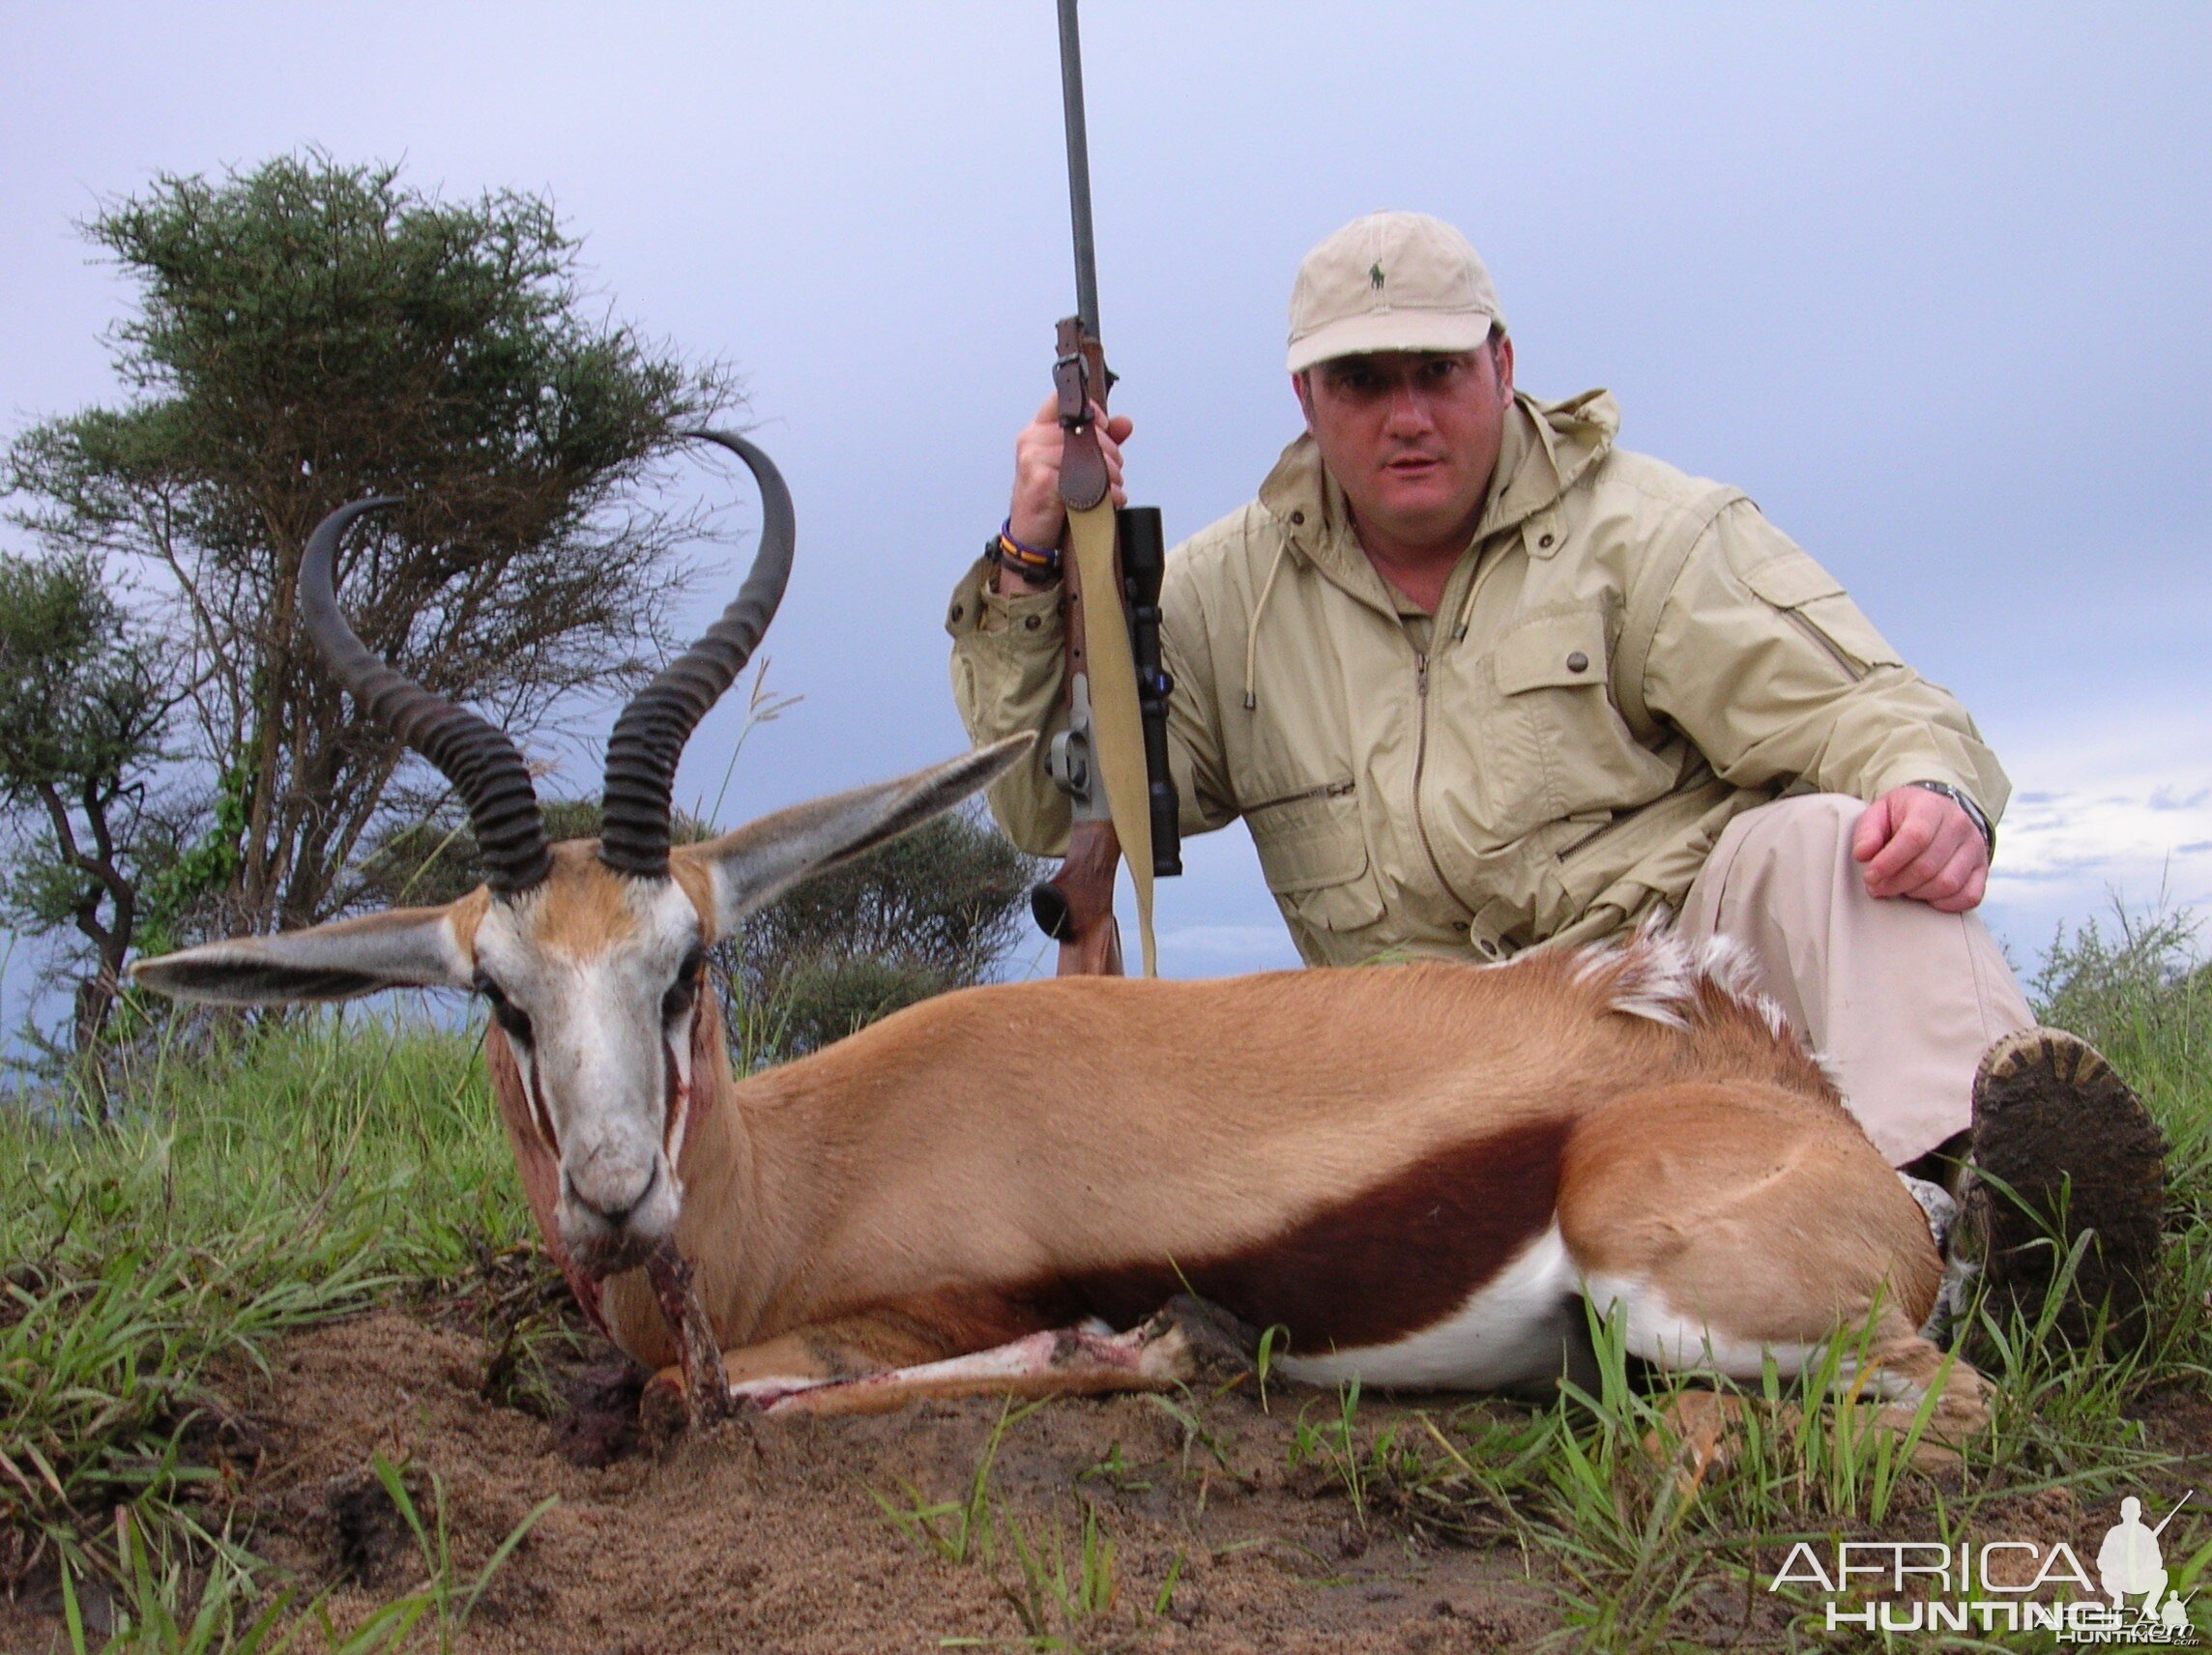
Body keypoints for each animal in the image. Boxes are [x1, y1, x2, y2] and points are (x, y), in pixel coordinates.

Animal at [129, 433, 1999, 1442]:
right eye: (502, 1000)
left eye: (688, 964)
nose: (611, 1199)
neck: (781, 1196)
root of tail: (1790, 1095)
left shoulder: (897, 1320)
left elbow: (736, 1395)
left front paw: (1143, 1345)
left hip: (1673, 1275)